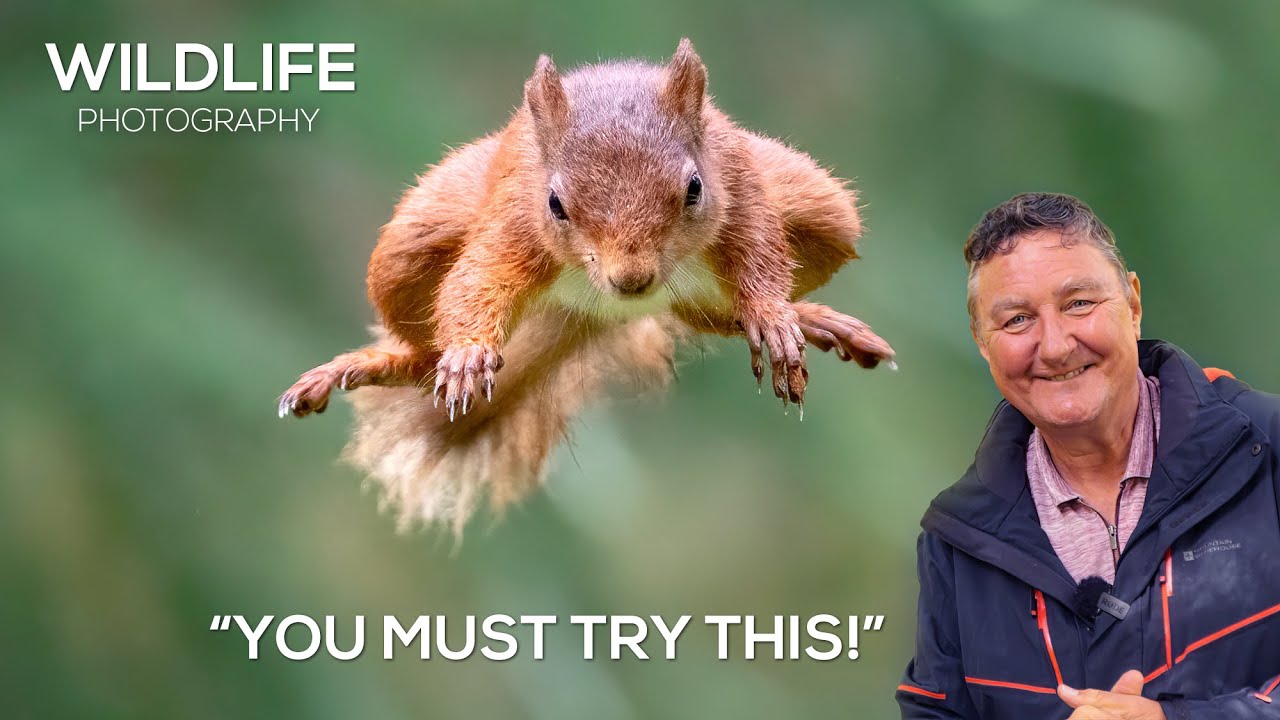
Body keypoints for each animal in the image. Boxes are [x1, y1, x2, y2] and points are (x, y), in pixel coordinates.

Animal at [279, 39, 895, 533]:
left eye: (694, 188)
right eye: (556, 203)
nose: (632, 279)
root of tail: (601, 314)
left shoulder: (742, 191)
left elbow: (761, 255)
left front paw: (771, 317)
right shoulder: (513, 221)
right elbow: (475, 282)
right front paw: (469, 354)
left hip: (821, 210)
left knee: (709, 309)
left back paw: (805, 320)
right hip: (411, 245)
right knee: (421, 350)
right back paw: (386, 363)